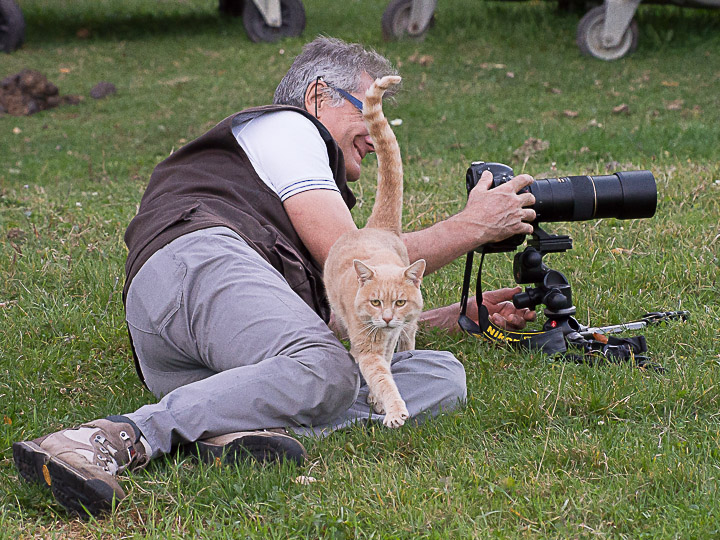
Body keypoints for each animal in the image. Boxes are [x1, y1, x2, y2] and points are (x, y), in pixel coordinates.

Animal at [324, 76, 424, 428]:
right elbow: (381, 377)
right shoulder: (366, 348)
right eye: (376, 302)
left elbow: (386, 368)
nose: (388, 317)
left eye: (399, 302)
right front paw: (392, 409)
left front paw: (379, 403)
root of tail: (376, 226)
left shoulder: (390, 339)